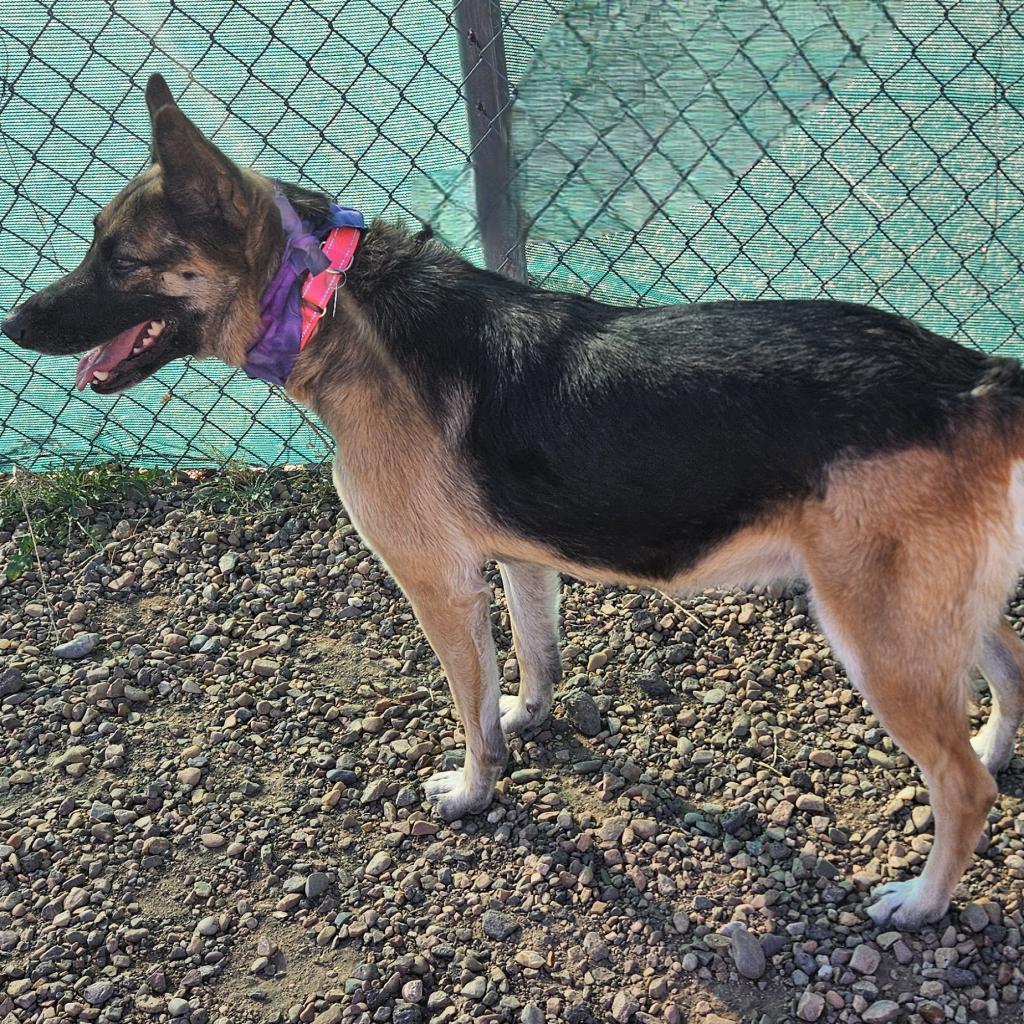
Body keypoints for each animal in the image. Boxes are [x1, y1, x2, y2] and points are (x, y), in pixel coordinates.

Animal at [2, 75, 1024, 933]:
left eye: (120, 259)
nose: (12, 323)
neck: (328, 303)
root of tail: (974, 378)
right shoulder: (523, 555)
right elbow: (534, 653)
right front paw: (530, 715)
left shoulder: (437, 585)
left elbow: (471, 706)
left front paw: (473, 790)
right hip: (930, 614)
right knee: (1007, 670)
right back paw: (994, 744)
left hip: (876, 634)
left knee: (960, 789)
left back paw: (923, 900)